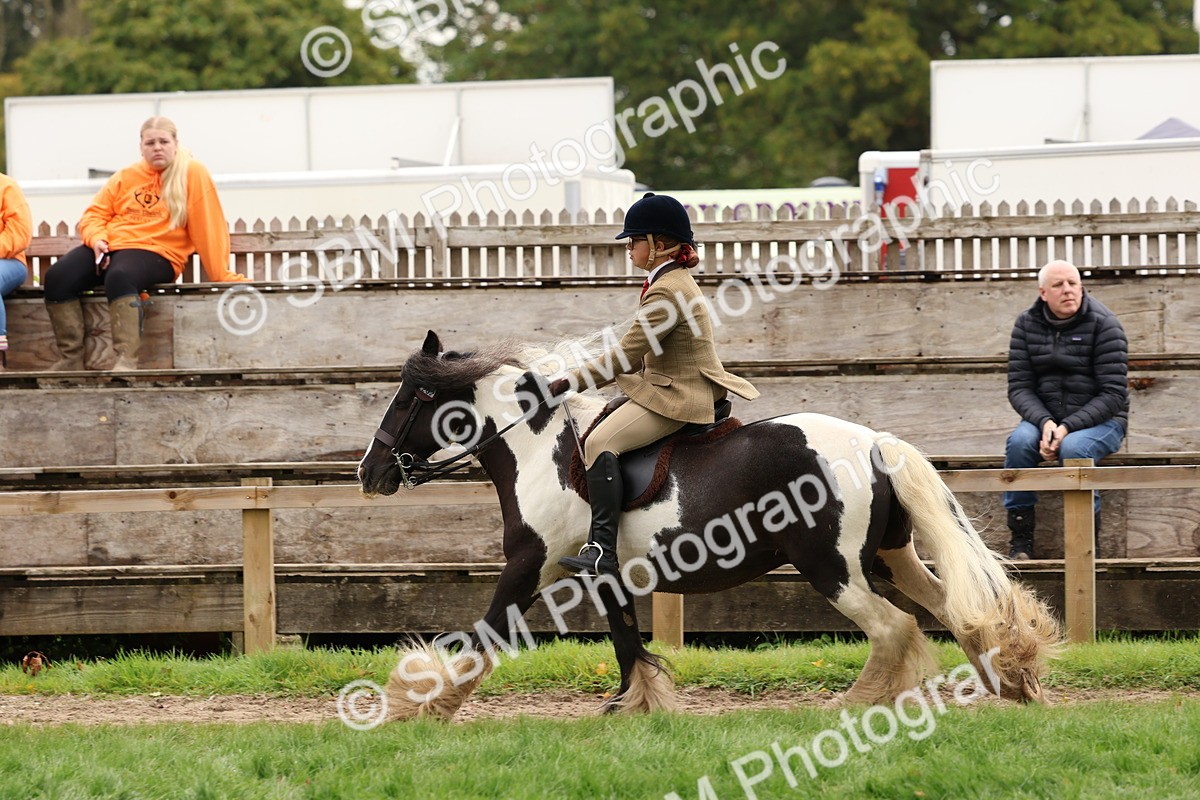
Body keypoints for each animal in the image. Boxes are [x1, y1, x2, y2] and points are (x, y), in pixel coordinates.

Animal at [357, 331, 1062, 720]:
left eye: (414, 396)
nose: (370, 472)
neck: (540, 446)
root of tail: (873, 443)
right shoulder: (605, 575)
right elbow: (626, 641)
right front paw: (639, 705)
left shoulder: (531, 566)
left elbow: (483, 636)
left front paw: (420, 707)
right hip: (893, 558)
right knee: (949, 609)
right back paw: (1011, 681)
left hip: (833, 568)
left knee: (895, 628)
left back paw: (853, 705)